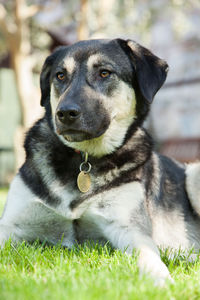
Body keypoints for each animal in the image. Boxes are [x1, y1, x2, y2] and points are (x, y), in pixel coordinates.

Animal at [0, 38, 200, 284]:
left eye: (104, 73)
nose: (65, 113)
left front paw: (160, 279)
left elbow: (149, 255)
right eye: (60, 75)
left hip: (194, 175)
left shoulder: (128, 229)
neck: (83, 158)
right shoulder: (11, 224)